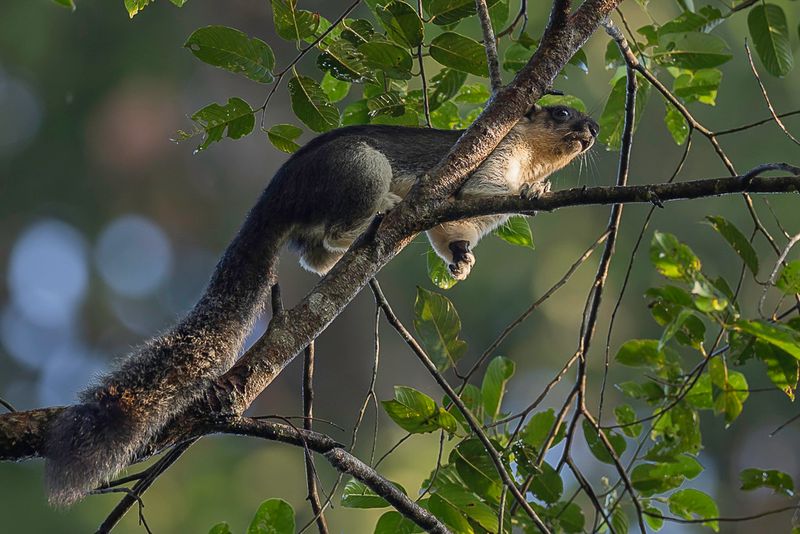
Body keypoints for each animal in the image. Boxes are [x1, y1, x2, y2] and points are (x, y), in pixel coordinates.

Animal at [42, 103, 592, 506]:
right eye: (560, 112)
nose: (590, 130)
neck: (530, 153)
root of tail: (277, 197)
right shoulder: (490, 158)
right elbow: (482, 190)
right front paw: (534, 190)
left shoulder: (462, 219)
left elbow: (450, 233)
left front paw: (461, 261)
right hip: (359, 167)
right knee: (333, 230)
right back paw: (383, 212)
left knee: (313, 252)